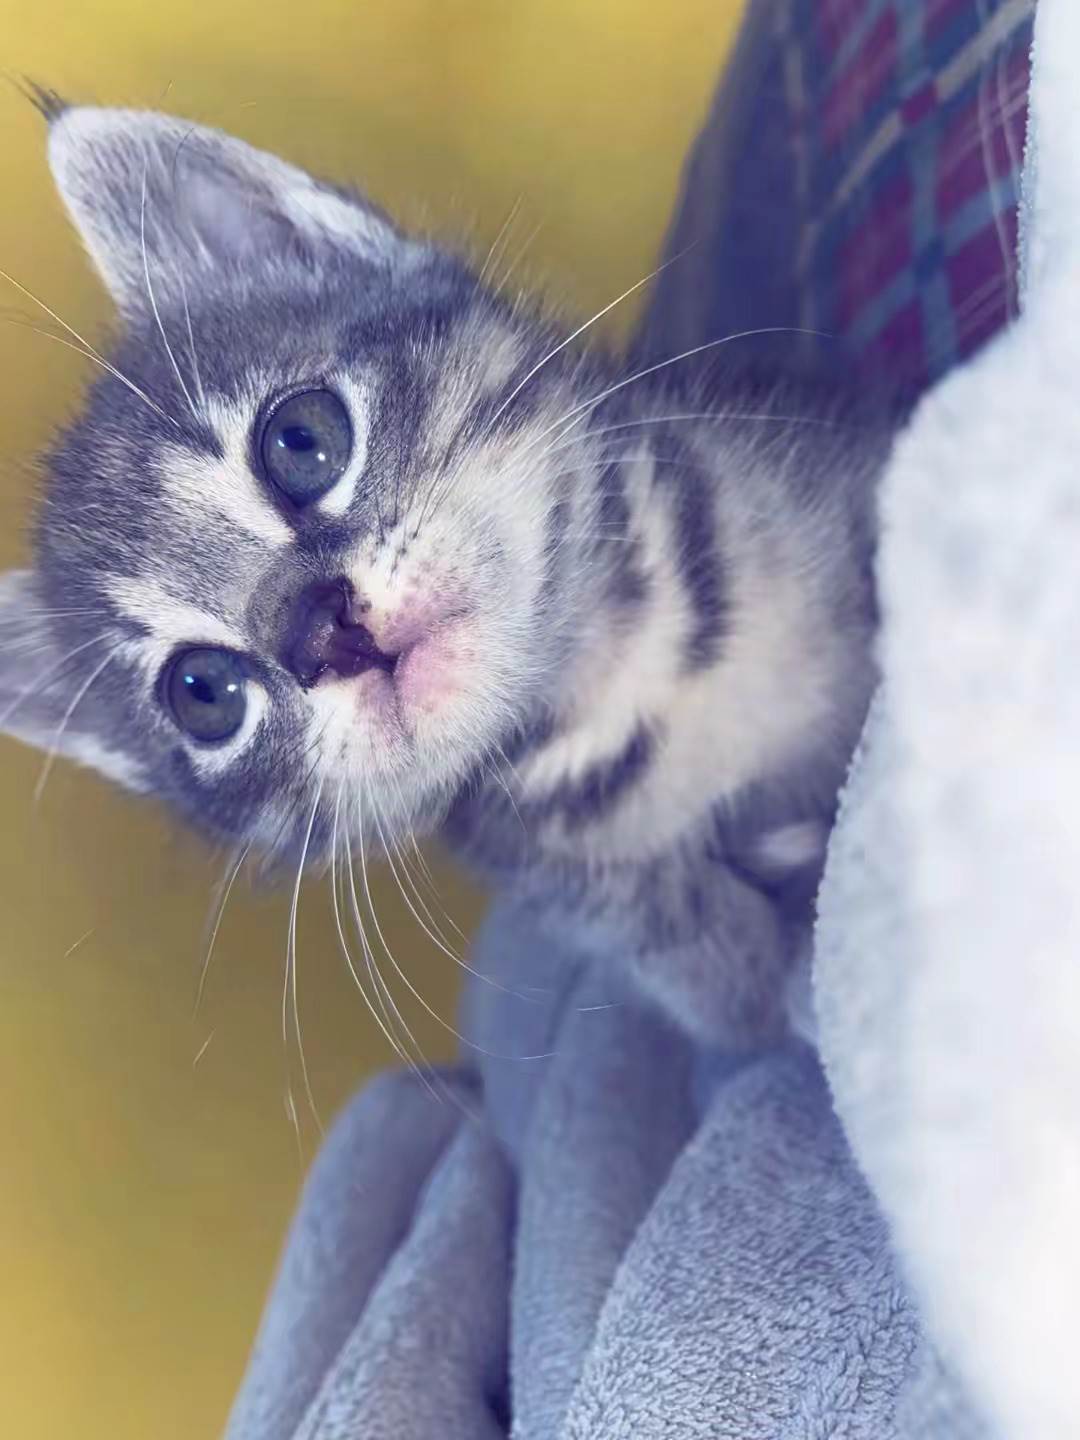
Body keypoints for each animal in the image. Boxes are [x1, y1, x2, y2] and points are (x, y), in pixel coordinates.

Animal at [0, 100, 890, 1044]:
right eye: (204, 693)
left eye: (301, 440)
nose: (321, 630)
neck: (628, 681)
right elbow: (729, 986)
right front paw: (787, 965)